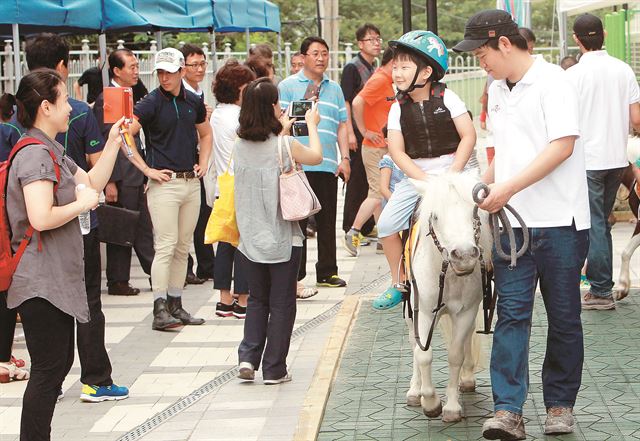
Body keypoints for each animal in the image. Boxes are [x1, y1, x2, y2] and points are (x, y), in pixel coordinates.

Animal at [402, 173, 492, 422]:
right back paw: (415, 391)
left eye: (474, 211)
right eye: (435, 216)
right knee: (413, 344)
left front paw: (451, 408)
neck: (450, 274)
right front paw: (430, 402)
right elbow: (423, 354)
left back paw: (467, 379)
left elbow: (455, 355)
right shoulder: (423, 312)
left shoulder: (466, 311)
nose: (464, 255)